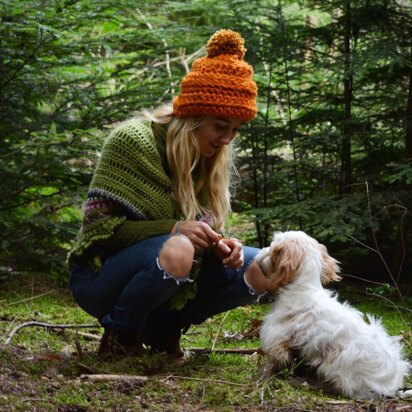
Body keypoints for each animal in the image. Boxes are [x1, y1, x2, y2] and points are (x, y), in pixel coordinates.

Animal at [256, 230, 410, 398]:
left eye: (272, 248)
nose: (259, 253)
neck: (303, 288)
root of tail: (392, 388)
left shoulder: (277, 341)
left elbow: (272, 365)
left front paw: (262, 381)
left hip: (339, 361)